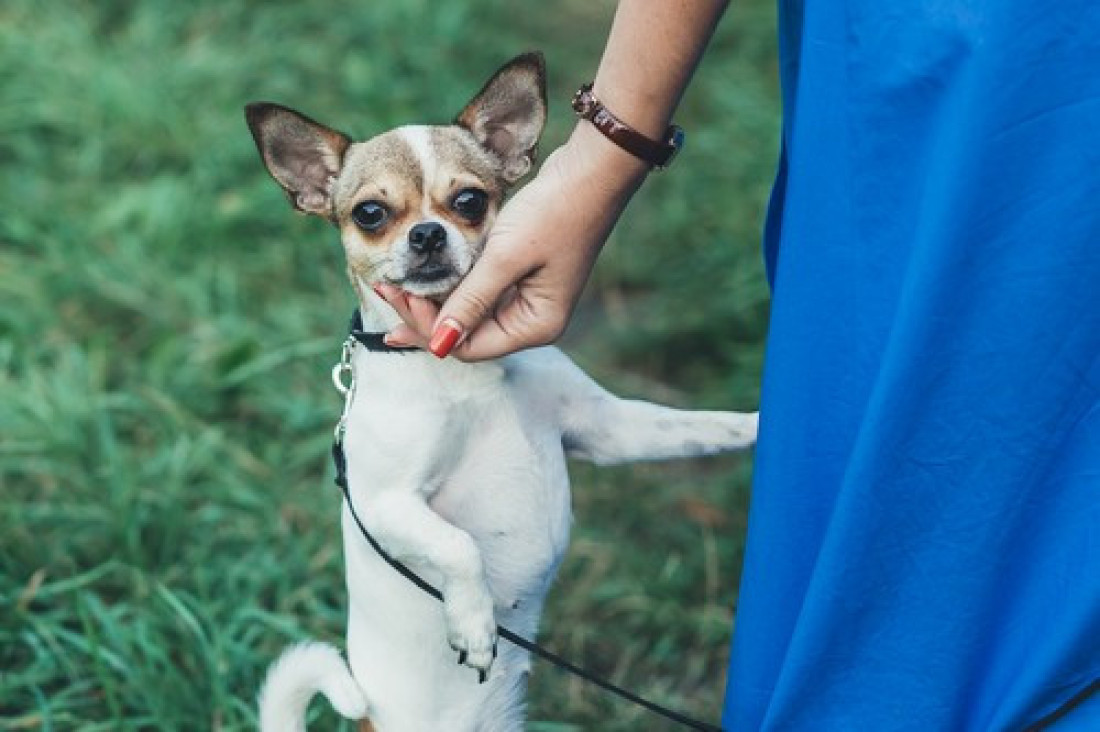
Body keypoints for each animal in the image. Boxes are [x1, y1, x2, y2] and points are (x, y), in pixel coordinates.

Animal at [248, 52, 756, 730]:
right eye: (370, 214)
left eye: (469, 200)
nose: (428, 235)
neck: (454, 363)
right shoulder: (387, 503)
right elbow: (459, 546)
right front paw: (474, 624)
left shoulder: (609, 428)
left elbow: (700, 426)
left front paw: (762, 425)